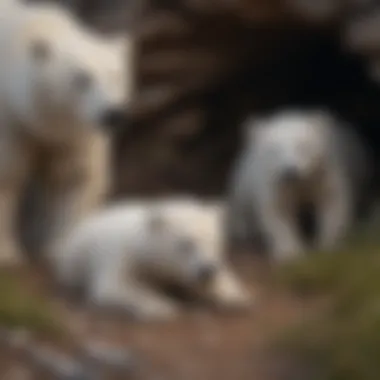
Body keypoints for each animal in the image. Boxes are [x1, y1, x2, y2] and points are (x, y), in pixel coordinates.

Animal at [0, 0, 131, 264]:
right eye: (82, 78)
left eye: (116, 76)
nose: (112, 115)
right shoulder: (10, 121)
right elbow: (7, 173)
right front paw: (7, 252)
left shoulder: (77, 136)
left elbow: (73, 177)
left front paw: (62, 248)